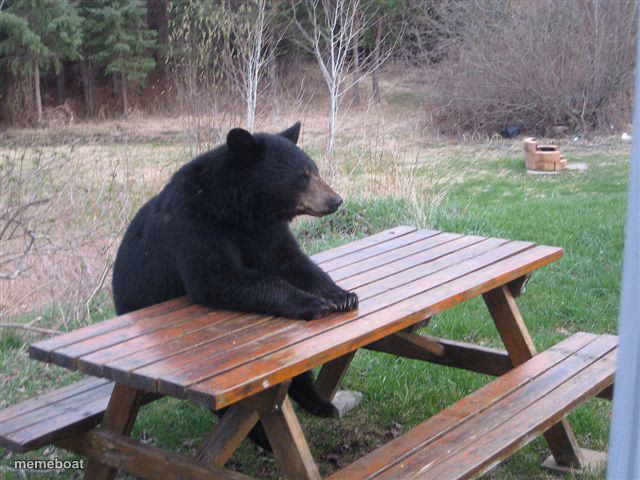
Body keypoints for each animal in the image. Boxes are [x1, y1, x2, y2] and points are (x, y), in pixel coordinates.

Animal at [112, 122, 358, 449]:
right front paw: (313, 303)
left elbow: (291, 261)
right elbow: (218, 277)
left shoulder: (264, 229)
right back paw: (263, 436)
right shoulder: (194, 222)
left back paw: (319, 403)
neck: (240, 207)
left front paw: (341, 295)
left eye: (314, 169)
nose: (335, 200)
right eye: (302, 175)